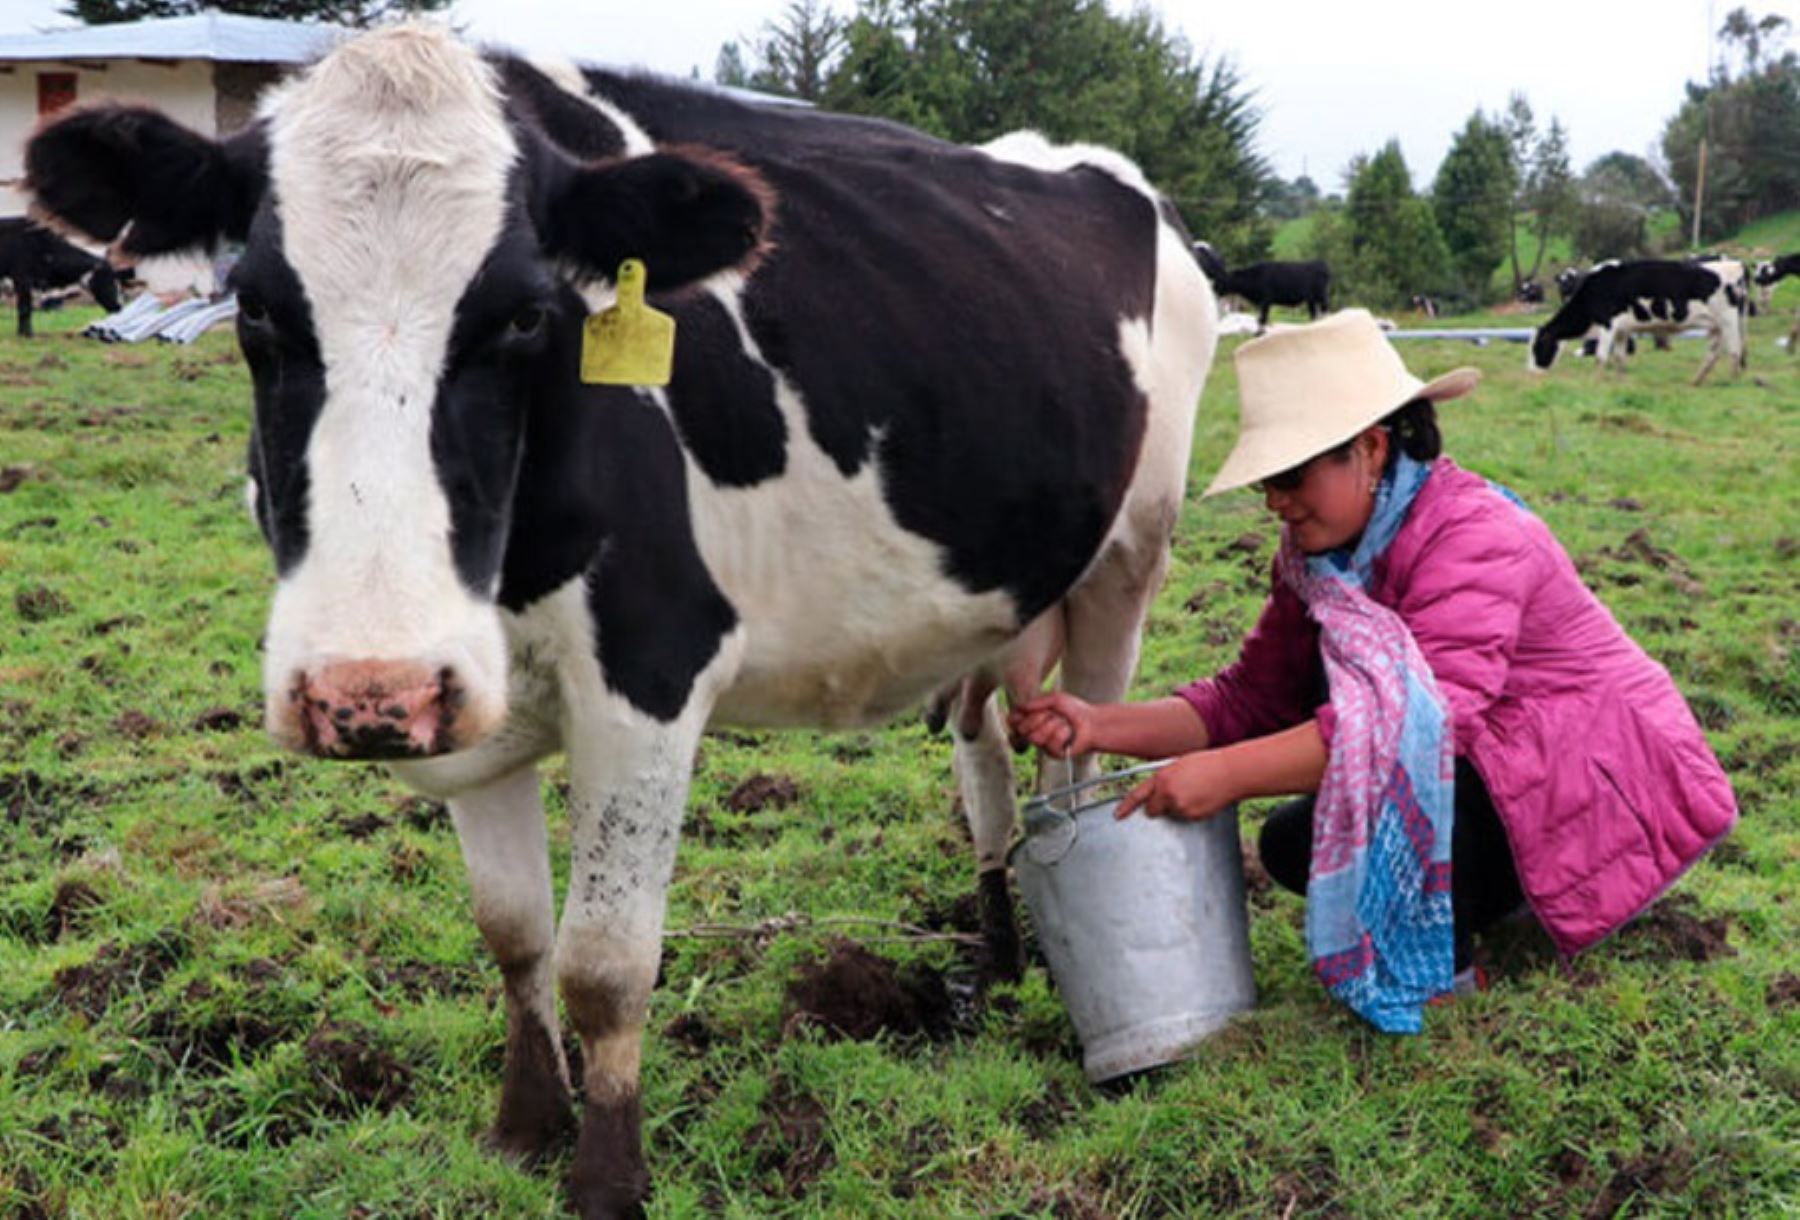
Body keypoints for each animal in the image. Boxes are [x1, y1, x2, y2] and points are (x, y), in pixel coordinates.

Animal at [24, 23, 1224, 1216]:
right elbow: (514, 934)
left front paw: (606, 1174)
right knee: (990, 760)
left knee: (1079, 764)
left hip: (1128, 561)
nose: (363, 692)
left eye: (524, 313)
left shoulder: (652, 669)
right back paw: (997, 955)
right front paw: (523, 1127)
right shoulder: (468, 700)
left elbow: (603, 960)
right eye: (260, 305)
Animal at [1188, 239, 1332, 329]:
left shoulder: (1266, 300)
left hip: (1320, 296)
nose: (1213, 291)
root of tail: (1320, 263)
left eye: (1220, 282)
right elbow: (1260, 319)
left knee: (1325, 310)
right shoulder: (1262, 303)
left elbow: (1262, 319)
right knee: (1314, 314)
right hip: (1311, 299)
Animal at [1533, 259, 1742, 386]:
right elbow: (1619, 357)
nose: (1532, 372)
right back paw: (1696, 381)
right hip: (1715, 326)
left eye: (1537, 347)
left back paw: (1731, 381)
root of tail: (1735, 264)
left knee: (1735, 351)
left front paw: (1595, 382)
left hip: (1728, 320)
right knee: (1712, 355)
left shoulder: (1608, 324)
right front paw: (1620, 381)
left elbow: (1601, 356)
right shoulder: (1621, 329)